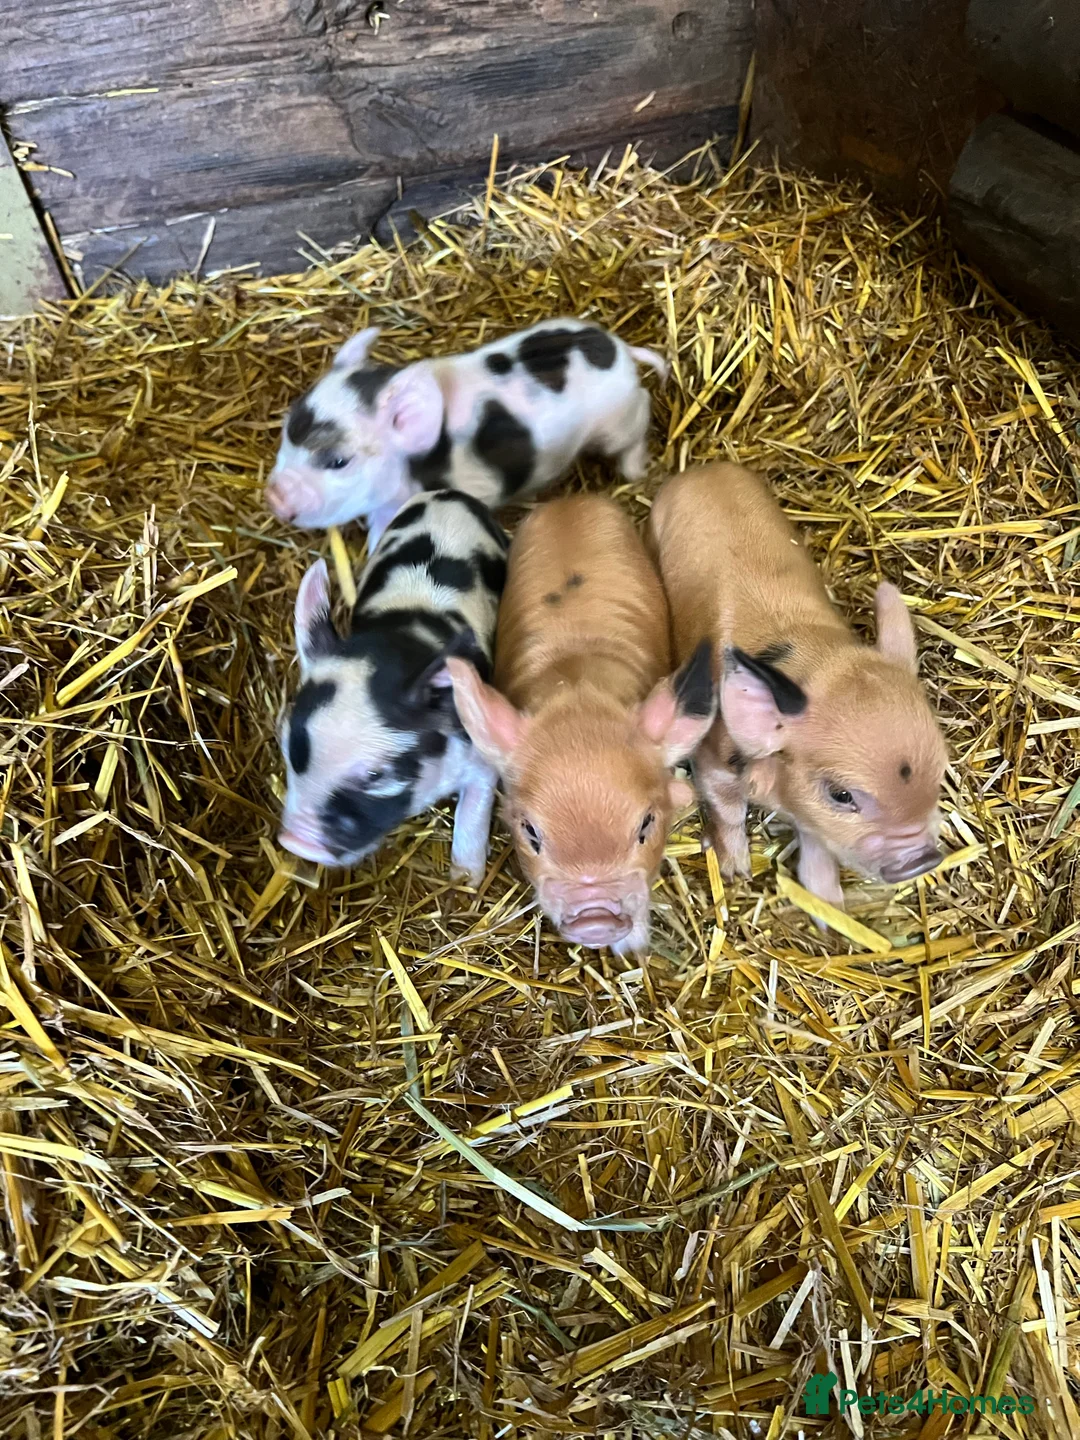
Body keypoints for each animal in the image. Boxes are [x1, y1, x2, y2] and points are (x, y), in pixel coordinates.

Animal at [266, 318, 668, 545]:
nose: (274, 496)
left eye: (338, 461)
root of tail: (620, 350)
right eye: (287, 431)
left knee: (642, 409)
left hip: (616, 422)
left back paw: (635, 472)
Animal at [278, 489, 508, 882]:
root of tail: (450, 494)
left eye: (376, 774)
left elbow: (475, 807)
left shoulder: (478, 748)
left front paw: (465, 880)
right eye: (288, 746)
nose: (295, 843)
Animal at [445, 494, 715, 954]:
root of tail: (569, 499)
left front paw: (634, 951)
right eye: (531, 833)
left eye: (646, 824)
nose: (595, 918)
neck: (578, 686)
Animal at [647, 462, 948, 908]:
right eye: (841, 794)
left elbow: (816, 859)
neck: (816, 658)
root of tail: (704, 468)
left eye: (941, 772)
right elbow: (727, 808)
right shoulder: (714, 757)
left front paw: (830, 906)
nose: (924, 861)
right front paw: (737, 873)